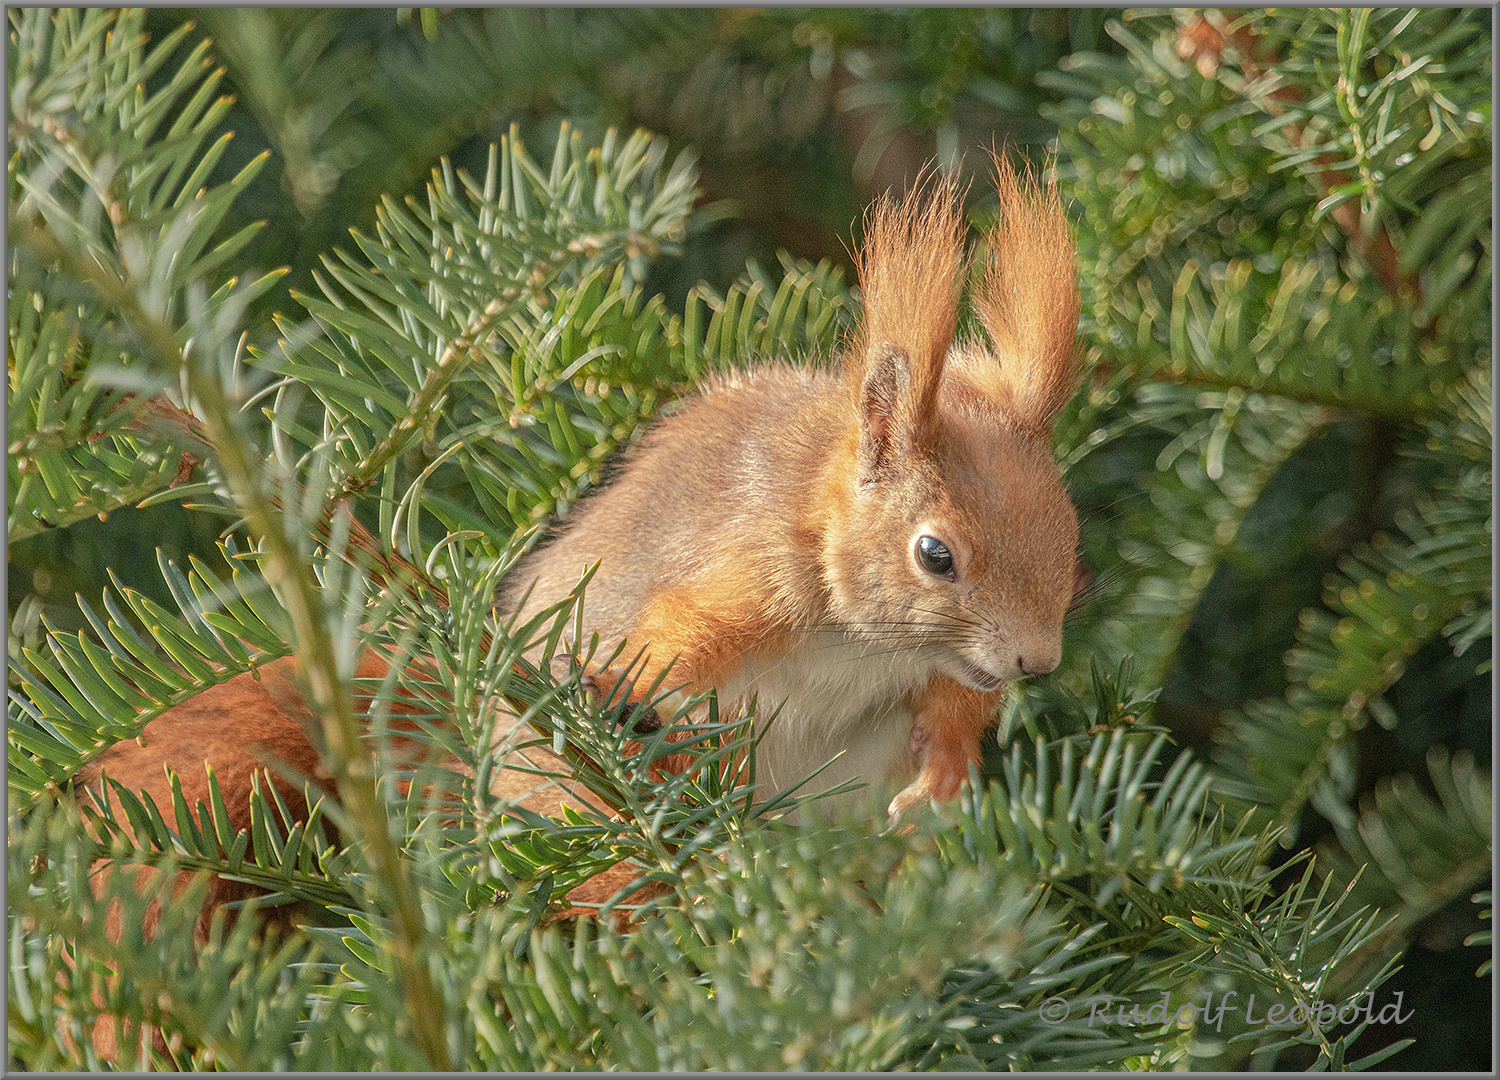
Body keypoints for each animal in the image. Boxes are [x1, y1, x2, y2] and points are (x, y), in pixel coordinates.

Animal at [504, 158, 1080, 816]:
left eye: (1072, 535)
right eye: (936, 556)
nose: (1037, 660)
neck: (866, 645)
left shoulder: (950, 669)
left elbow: (960, 702)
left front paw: (945, 772)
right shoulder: (753, 573)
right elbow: (679, 636)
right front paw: (609, 685)